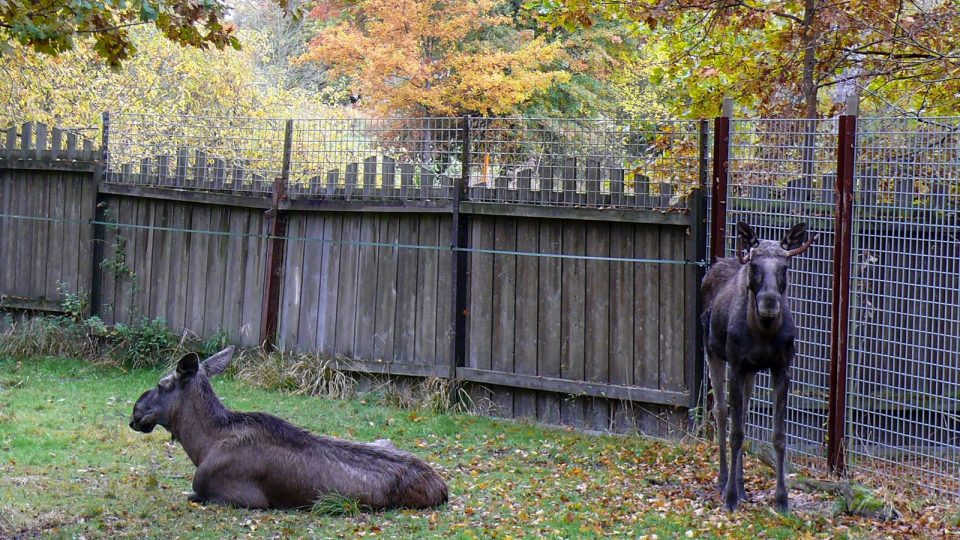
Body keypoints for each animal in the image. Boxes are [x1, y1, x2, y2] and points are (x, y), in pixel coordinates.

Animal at [127, 346, 450, 510]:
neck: (202, 446)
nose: (135, 412)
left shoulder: (245, 499)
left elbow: (192, 494)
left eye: (161, 384)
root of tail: (443, 487)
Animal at [696, 219, 816, 510]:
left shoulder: (781, 368)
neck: (763, 331)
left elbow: (778, 436)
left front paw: (781, 499)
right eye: (754, 266)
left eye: (785, 267)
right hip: (713, 352)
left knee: (745, 413)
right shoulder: (737, 365)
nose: (769, 302)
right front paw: (729, 497)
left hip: (750, 370)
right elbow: (736, 433)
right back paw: (724, 481)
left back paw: (741, 485)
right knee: (721, 411)